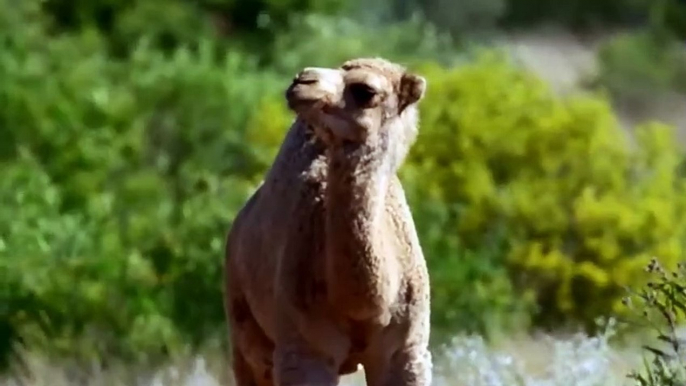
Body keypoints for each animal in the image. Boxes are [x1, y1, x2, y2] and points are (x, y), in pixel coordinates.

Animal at [227, 57, 436, 386]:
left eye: (364, 91)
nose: (302, 81)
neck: (365, 308)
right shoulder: (305, 350)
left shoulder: (407, 351)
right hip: (241, 324)